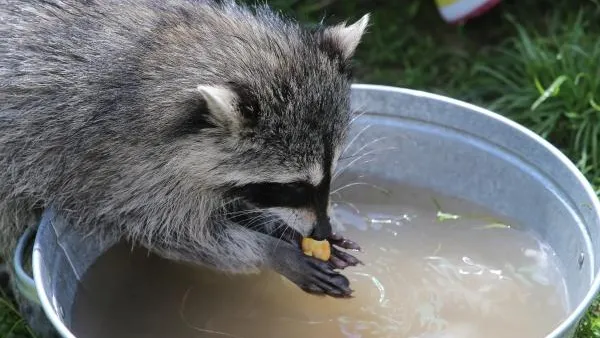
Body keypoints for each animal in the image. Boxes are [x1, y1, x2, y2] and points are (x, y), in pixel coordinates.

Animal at [0, 0, 368, 332]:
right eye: (292, 186)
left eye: (331, 171)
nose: (322, 232)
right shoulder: (112, 162)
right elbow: (170, 230)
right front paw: (271, 250)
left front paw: (279, 228)